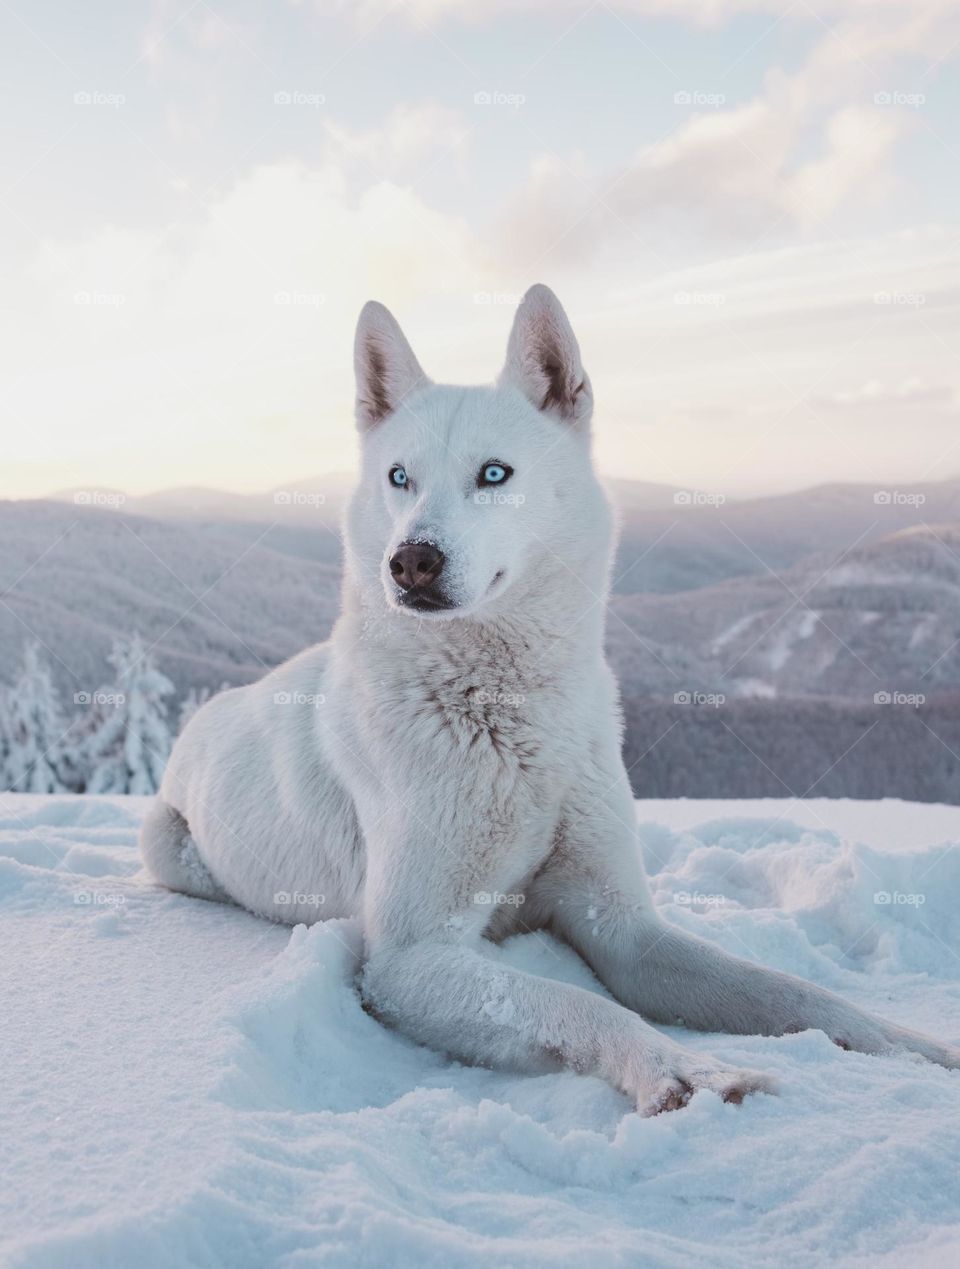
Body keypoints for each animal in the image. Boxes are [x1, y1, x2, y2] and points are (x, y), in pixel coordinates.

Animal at [141, 285, 959, 1114]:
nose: (410, 561)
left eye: (494, 473)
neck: (509, 719)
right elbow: (579, 1002)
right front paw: (683, 1069)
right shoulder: (410, 957)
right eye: (399, 477)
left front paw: (909, 1045)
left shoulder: (625, 929)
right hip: (168, 845)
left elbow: (791, 992)